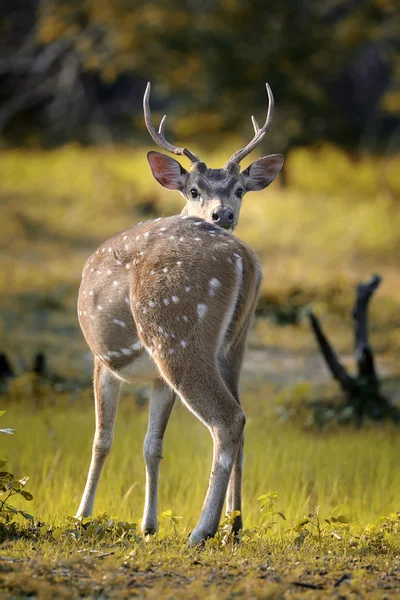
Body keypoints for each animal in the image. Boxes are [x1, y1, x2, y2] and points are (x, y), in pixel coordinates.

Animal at [76, 82, 282, 548]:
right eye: (193, 189)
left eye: (241, 189)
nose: (222, 213)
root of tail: (244, 257)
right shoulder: (156, 380)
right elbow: (152, 445)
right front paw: (147, 525)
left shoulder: (102, 361)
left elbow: (101, 439)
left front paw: (81, 517)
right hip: (233, 344)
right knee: (242, 418)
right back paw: (234, 525)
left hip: (177, 332)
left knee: (228, 419)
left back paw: (202, 530)